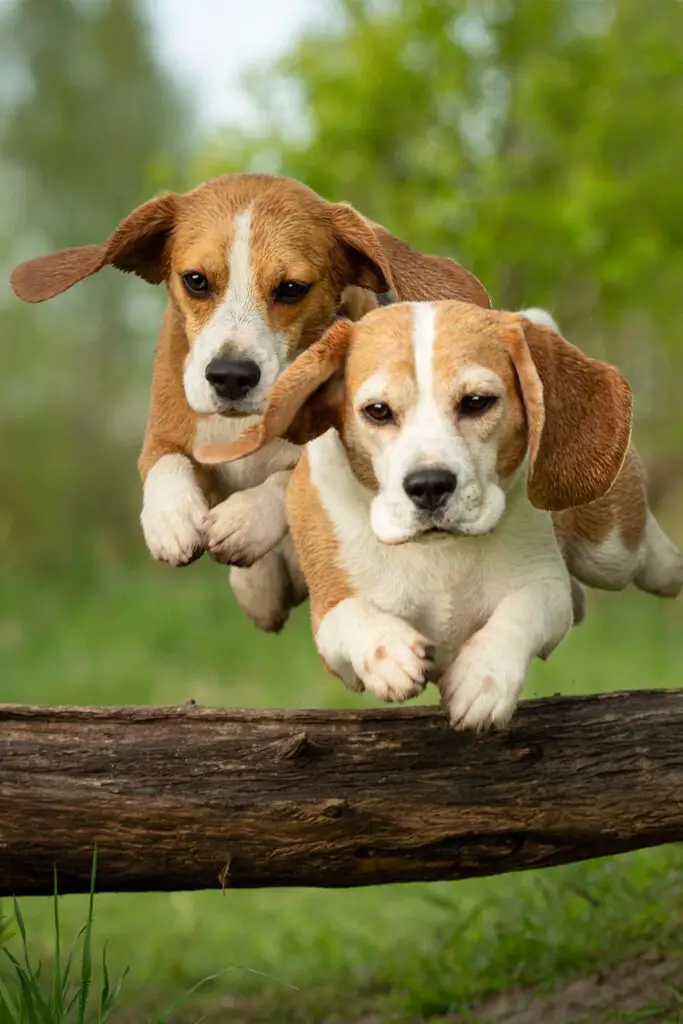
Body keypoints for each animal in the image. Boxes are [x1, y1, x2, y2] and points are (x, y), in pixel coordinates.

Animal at [10, 174, 491, 630]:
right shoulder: (163, 434)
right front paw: (171, 519)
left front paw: (244, 521)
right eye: (196, 281)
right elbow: (168, 461)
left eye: (292, 288)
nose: (230, 376)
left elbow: (292, 471)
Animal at [196, 299, 683, 733]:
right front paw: (389, 652)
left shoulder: (544, 585)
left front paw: (484, 676)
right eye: (378, 411)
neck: (438, 554)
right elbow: (352, 614)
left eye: (476, 402)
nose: (429, 485)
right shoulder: (331, 630)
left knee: (644, 557)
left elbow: (519, 610)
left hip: (610, 553)